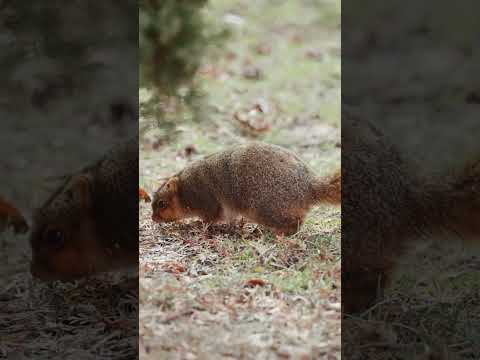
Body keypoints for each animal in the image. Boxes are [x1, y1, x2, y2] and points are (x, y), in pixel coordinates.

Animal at [152, 142, 340, 238]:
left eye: (162, 203)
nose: (153, 219)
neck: (184, 190)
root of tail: (308, 187)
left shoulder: (204, 198)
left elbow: (210, 218)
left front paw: (196, 225)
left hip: (265, 208)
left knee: (296, 223)